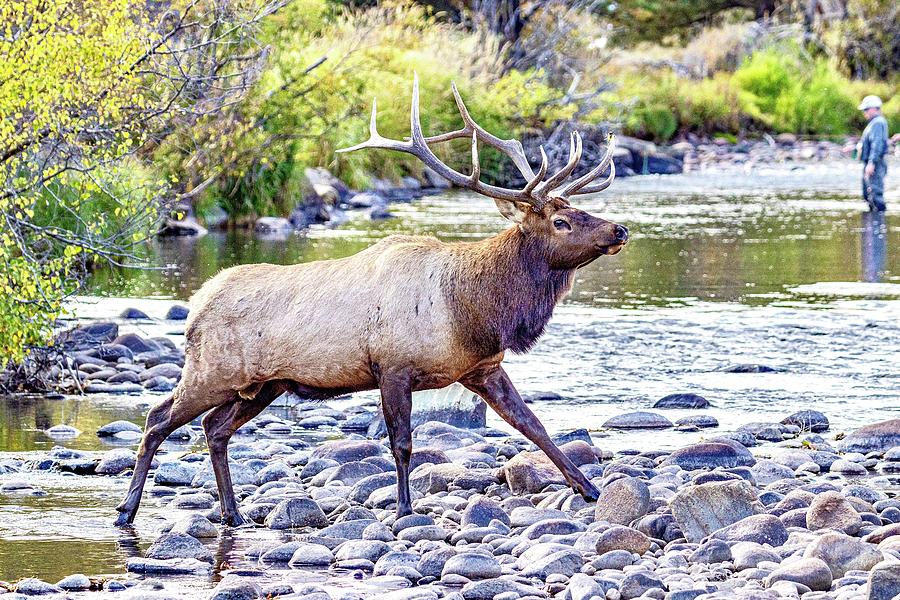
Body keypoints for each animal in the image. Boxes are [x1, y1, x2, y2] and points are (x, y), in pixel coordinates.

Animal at [116, 74, 628, 524]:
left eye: (578, 210)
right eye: (561, 222)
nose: (619, 229)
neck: (472, 311)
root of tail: (197, 304)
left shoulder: (483, 368)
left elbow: (533, 424)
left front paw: (588, 487)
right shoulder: (393, 366)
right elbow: (401, 443)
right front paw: (404, 509)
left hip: (265, 384)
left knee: (214, 429)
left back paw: (233, 512)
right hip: (213, 370)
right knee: (158, 418)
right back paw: (128, 510)